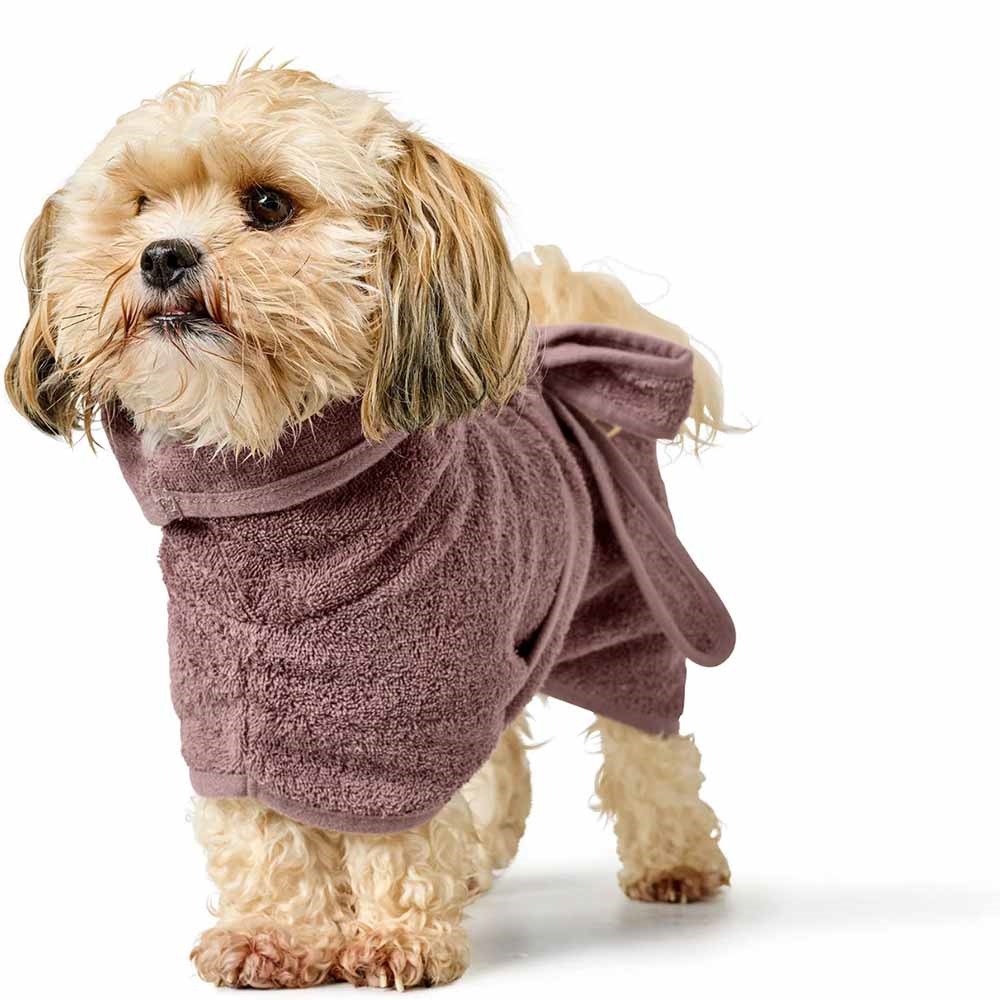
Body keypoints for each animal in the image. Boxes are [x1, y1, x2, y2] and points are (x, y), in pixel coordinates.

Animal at [6, 62, 735, 990]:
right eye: (138, 205)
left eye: (269, 205)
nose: (162, 254)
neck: (273, 516)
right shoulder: (223, 708)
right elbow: (265, 833)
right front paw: (273, 936)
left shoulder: (405, 709)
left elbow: (399, 832)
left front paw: (395, 938)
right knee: (502, 743)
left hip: (630, 610)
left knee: (651, 741)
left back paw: (674, 860)